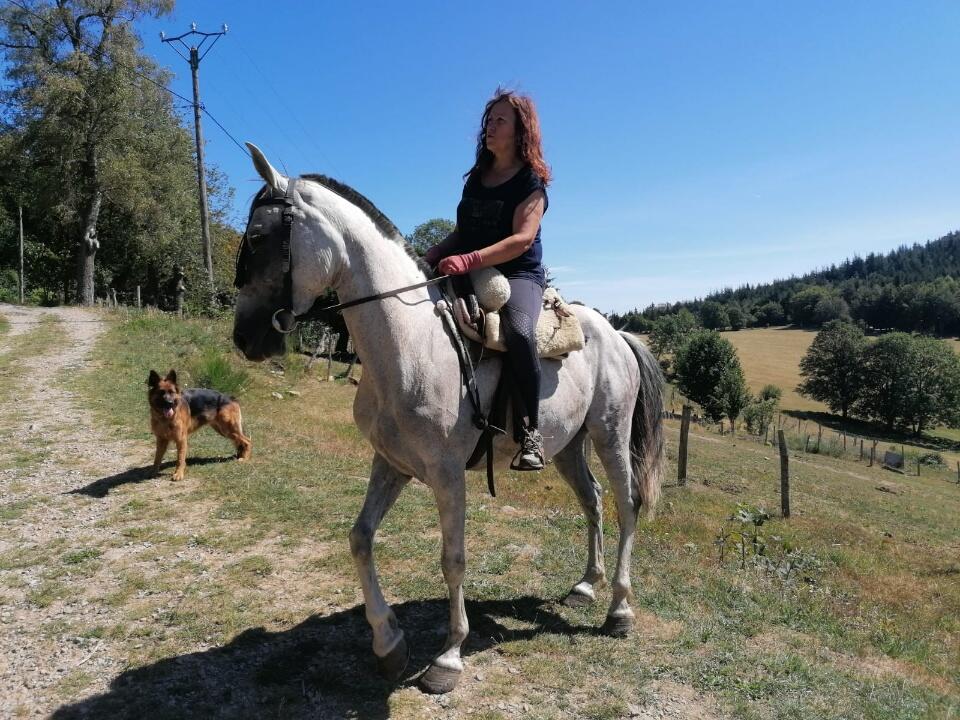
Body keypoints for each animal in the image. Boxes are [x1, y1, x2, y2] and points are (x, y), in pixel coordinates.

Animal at [233, 145, 668, 692]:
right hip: (568, 446)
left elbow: (453, 559)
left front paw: (448, 657)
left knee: (627, 506)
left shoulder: (446, 475)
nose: (245, 337)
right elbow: (360, 538)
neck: (410, 342)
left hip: (611, 435)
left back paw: (619, 610)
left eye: (258, 236)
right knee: (591, 501)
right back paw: (586, 586)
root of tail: (617, 333)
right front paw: (388, 643)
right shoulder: (390, 463)